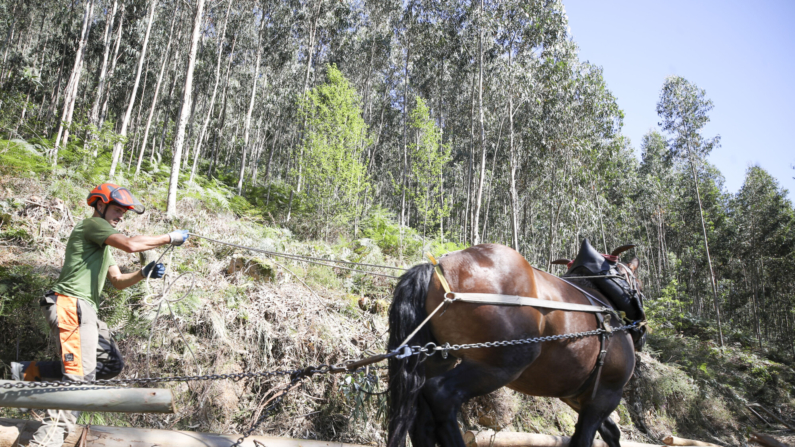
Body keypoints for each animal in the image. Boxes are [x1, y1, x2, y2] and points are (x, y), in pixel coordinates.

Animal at [388, 245, 644, 447]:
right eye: (637, 283)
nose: (641, 327)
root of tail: (437, 269)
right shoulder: (606, 394)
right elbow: (584, 439)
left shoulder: (578, 397)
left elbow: (610, 431)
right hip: (502, 363)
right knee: (441, 395)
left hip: (437, 360)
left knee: (422, 417)